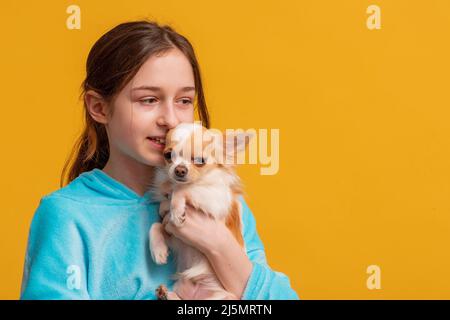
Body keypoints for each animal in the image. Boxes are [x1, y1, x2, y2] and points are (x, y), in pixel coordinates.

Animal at [149, 122, 251, 300]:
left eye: (199, 161)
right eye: (168, 155)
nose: (179, 169)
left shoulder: (215, 199)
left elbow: (183, 189)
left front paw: (177, 211)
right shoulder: (175, 237)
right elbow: (155, 225)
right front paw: (158, 251)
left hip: (224, 297)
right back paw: (165, 294)